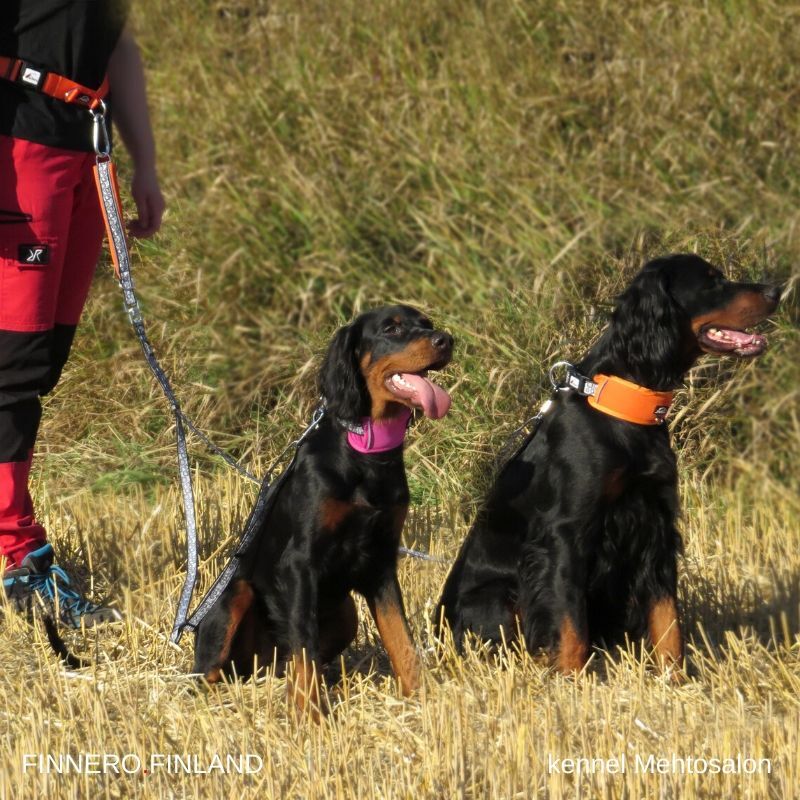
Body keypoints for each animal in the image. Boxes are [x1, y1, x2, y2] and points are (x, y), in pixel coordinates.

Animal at [194, 306, 454, 720]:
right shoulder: (299, 563)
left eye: (426, 324)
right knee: (211, 670)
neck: (366, 451)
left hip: (345, 614)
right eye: (392, 328)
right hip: (233, 596)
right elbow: (305, 643)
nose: (446, 340)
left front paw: (423, 694)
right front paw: (308, 713)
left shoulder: (381, 563)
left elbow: (401, 637)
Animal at [434, 255, 780, 676]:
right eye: (712, 282)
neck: (624, 406)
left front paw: (675, 677)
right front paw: (571, 679)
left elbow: (667, 619)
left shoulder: (656, 527)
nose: (776, 290)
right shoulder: (564, 535)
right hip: (494, 595)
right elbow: (570, 624)